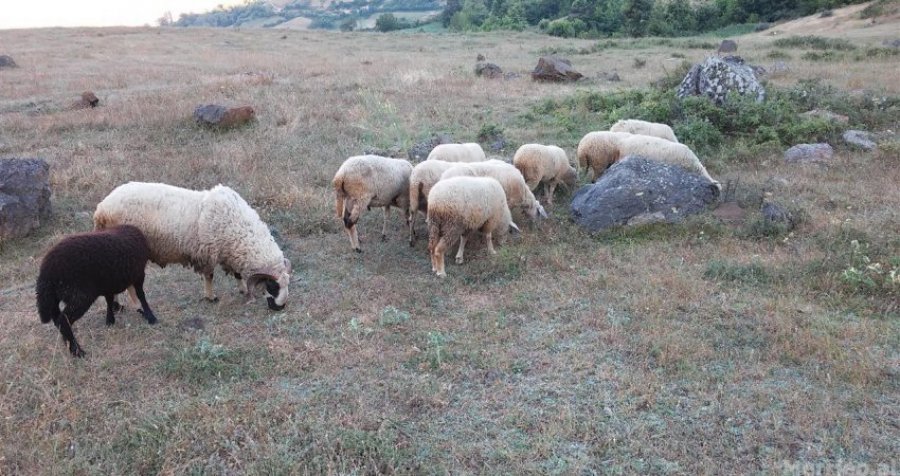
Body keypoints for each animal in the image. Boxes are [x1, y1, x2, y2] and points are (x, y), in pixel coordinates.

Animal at [36, 224, 158, 356]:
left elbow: (109, 299)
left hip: (54, 299)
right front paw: (151, 316)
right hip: (80, 296)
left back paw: (70, 346)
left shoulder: (108, 283)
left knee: (57, 320)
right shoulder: (139, 274)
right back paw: (78, 352)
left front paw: (110, 320)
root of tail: (46, 273)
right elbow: (141, 295)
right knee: (63, 320)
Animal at [92, 180, 290, 310]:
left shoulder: (228, 251)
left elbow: (237, 273)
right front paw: (211, 297)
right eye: (273, 286)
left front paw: (241, 289)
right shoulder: (208, 252)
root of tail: (102, 209)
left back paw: (117, 305)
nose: (280, 307)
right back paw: (137, 306)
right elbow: (209, 276)